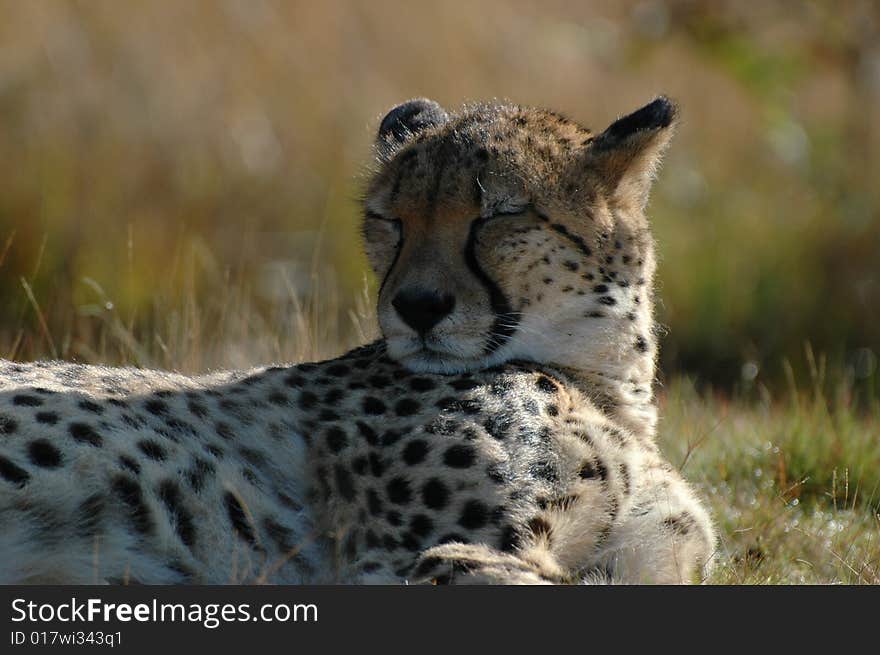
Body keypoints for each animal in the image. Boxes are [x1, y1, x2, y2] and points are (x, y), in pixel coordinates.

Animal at [0, 96, 716, 584]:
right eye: (388, 219)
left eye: (499, 215)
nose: (418, 306)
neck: (601, 381)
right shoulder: (397, 561)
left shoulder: (654, 555)